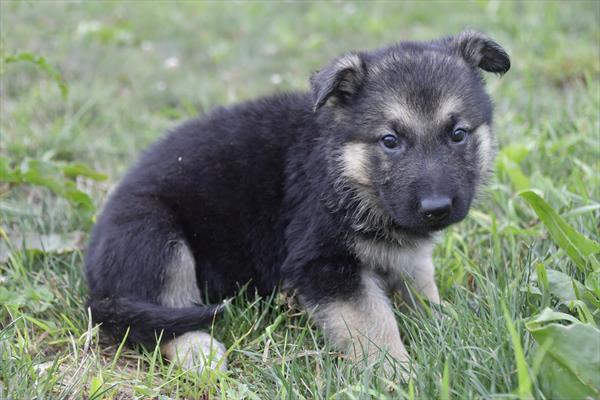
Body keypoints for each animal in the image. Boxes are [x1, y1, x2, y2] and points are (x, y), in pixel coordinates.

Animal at [85, 30, 510, 376]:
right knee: (162, 321)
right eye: (390, 141)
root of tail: (96, 285)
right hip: (156, 235)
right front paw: (397, 373)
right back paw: (201, 354)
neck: (345, 169)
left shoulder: (406, 257)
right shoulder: (324, 264)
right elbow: (373, 322)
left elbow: (422, 287)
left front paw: (447, 326)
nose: (436, 208)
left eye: (458, 134)